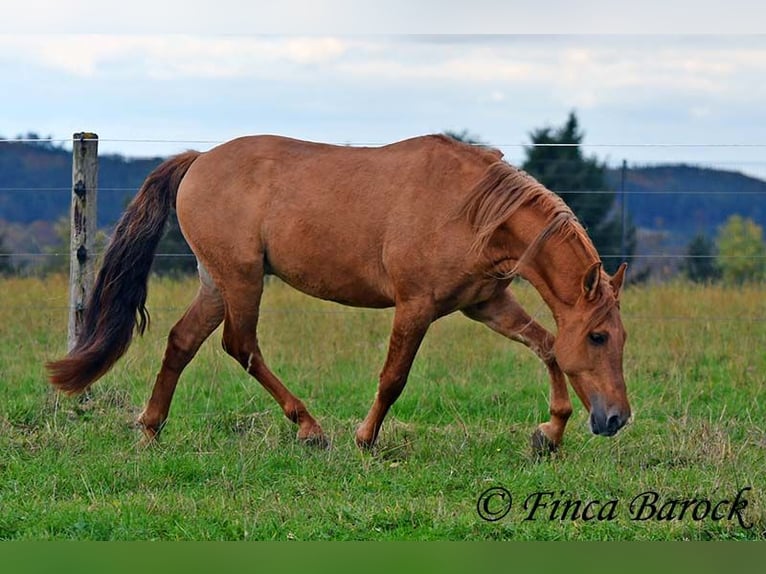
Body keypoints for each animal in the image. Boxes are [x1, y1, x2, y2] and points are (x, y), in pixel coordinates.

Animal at [47, 134, 630, 452]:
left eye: (620, 337)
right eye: (599, 337)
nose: (617, 418)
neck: (473, 207)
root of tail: (197, 161)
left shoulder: (484, 303)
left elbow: (546, 346)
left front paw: (550, 433)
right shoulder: (416, 306)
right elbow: (393, 378)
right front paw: (365, 438)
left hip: (217, 283)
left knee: (182, 343)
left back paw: (150, 429)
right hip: (242, 280)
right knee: (241, 346)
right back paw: (309, 428)